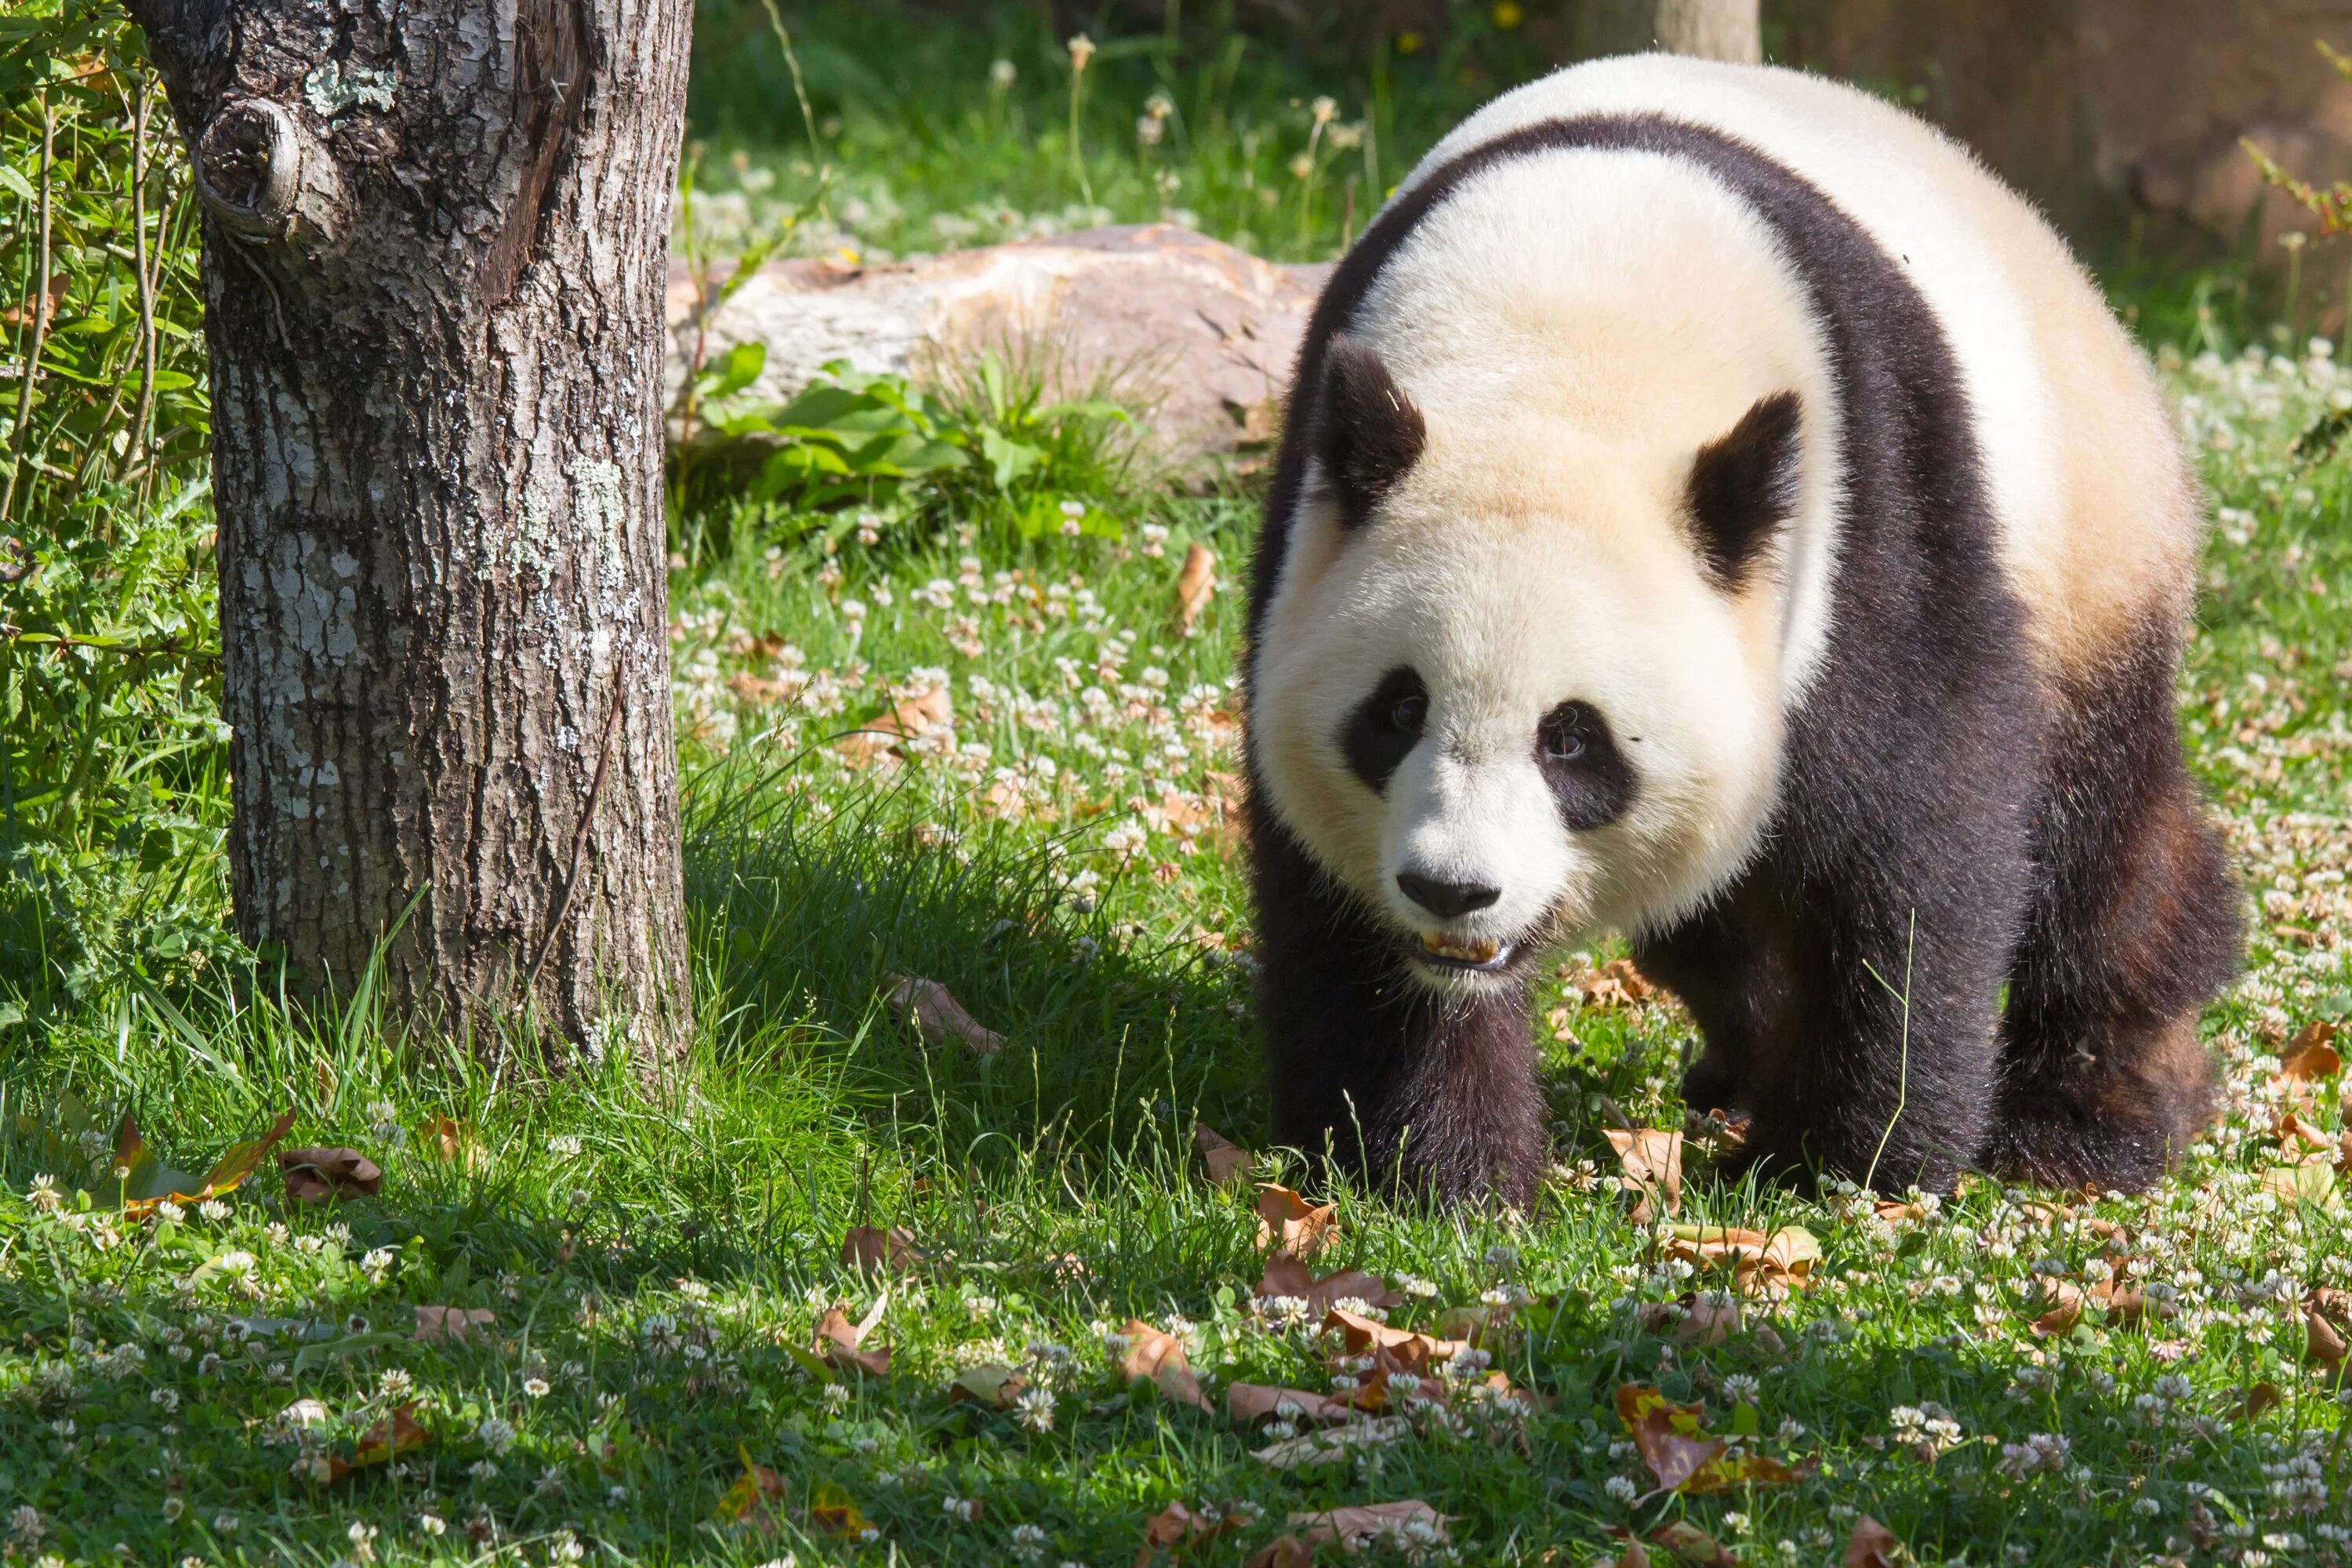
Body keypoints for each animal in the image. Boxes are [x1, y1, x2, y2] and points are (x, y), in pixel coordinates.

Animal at [1232, 49, 2239, 1203]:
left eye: (1571, 738)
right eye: (1398, 709)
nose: (1453, 889)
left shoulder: (1872, 527)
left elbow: (1912, 843)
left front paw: (1844, 1161)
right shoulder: (1308, 526)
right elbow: (1338, 902)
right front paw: (1430, 1169)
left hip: (2087, 546)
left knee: (2102, 851)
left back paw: (2094, 1113)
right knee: (1718, 924)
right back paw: (1740, 1060)